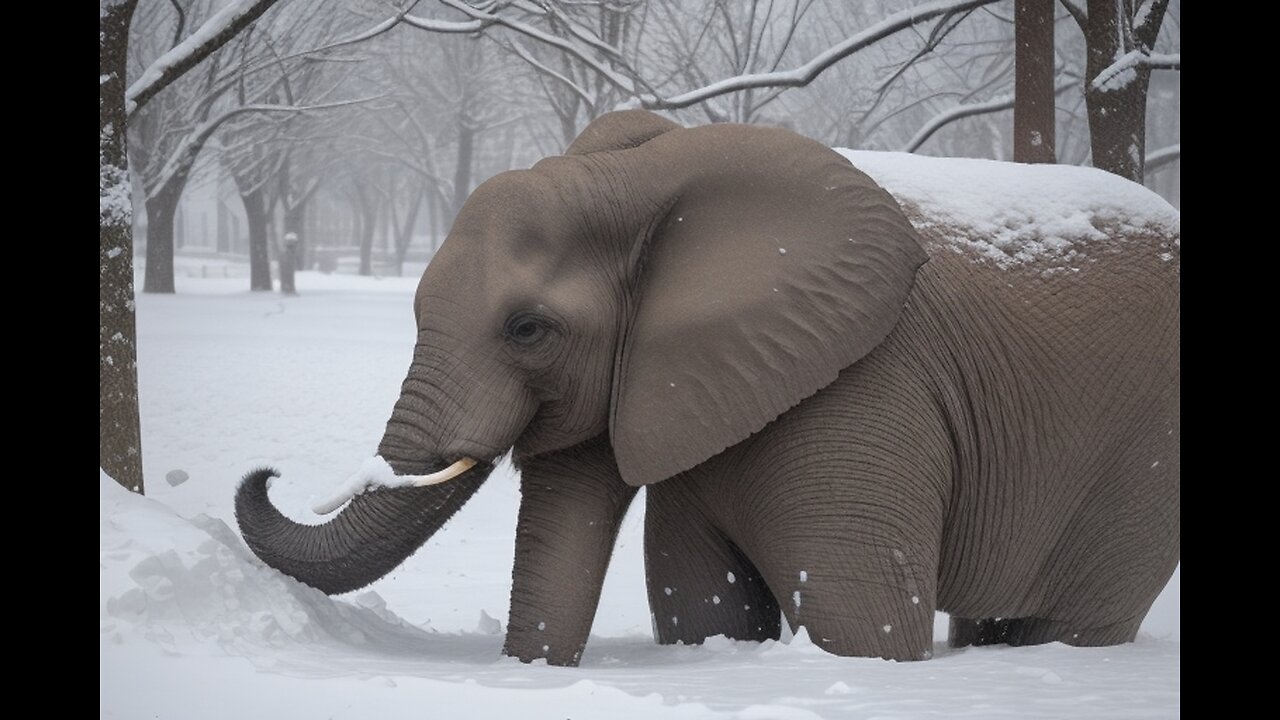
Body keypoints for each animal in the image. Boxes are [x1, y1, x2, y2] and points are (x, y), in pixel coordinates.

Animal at [238, 109, 1177, 666]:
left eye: (528, 329)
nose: (266, 473)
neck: (648, 175)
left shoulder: (867, 388)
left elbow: (860, 622)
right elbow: (697, 602)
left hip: (1141, 467)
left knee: (1077, 620)